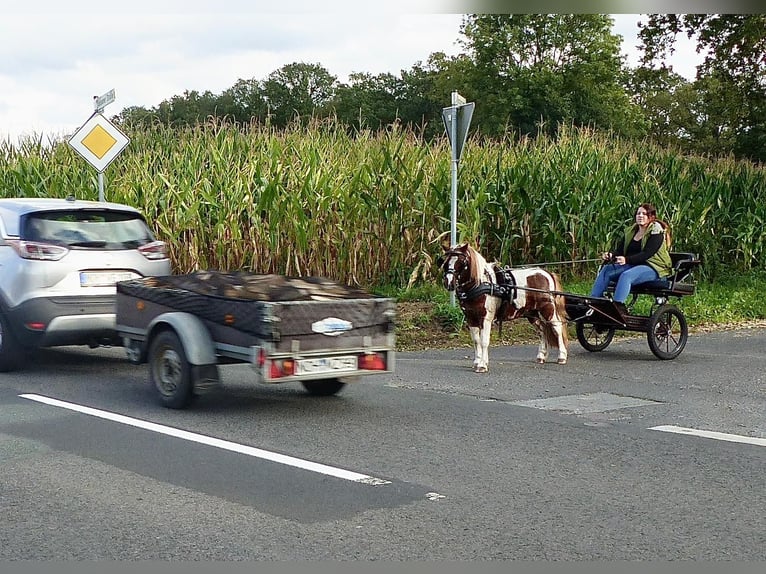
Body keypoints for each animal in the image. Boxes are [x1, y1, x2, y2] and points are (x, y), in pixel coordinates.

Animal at [438, 243, 568, 374]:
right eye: (445, 261)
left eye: (461, 261)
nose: (449, 283)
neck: (480, 284)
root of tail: (546, 273)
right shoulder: (471, 318)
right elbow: (476, 341)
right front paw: (477, 362)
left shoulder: (486, 318)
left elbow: (484, 341)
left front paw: (482, 365)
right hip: (532, 314)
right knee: (542, 330)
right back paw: (541, 356)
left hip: (548, 310)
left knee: (557, 328)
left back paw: (562, 357)